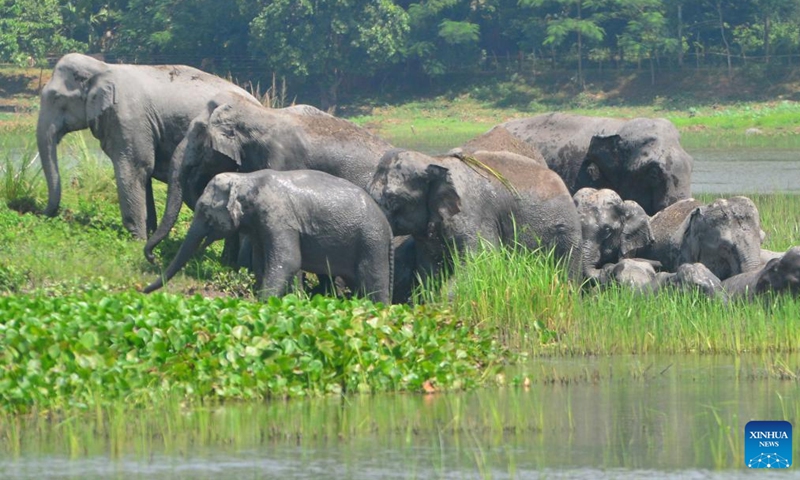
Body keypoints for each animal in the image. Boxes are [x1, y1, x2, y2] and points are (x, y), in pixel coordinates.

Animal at [37, 53, 258, 239]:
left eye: (56, 97)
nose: (45, 213)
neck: (103, 68)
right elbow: (144, 174)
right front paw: (148, 232)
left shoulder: (127, 119)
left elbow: (134, 169)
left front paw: (137, 239)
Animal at [144, 170, 393, 303]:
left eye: (205, 212)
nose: (142, 290)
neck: (246, 179)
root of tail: (389, 229)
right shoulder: (259, 226)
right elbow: (260, 261)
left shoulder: (278, 217)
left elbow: (289, 260)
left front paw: (263, 303)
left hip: (371, 242)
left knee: (373, 283)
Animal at [367, 149, 583, 281]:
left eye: (393, 199)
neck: (434, 160)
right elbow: (429, 274)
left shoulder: (474, 216)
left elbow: (481, 262)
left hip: (567, 236)